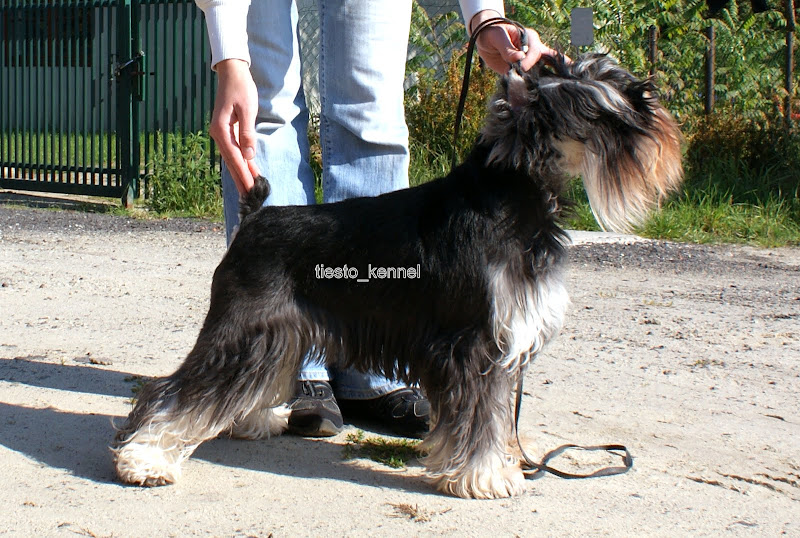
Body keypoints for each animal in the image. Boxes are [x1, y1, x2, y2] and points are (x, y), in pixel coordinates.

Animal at [112, 54, 682, 499]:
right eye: (593, 99)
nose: (650, 100)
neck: (510, 190)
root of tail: (255, 218)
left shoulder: (497, 345)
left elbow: (497, 415)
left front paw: (497, 465)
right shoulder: (473, 345)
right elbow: (482, 416)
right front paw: (484, 478)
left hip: (279, 337)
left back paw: (254, 420)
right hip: (242, 331)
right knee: (171, 393)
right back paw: (145, 460)